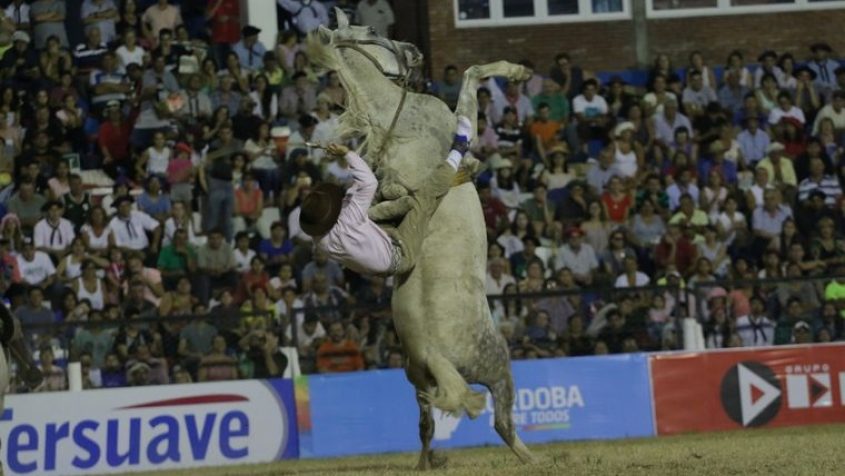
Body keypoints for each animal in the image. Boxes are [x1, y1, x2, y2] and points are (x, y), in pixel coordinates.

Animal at [308, 11, 536, 468]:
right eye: (371, 31)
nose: (414, 51)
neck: (389, 116)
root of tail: (435, 352)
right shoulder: (457, 122)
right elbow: (471, 74)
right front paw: (516, 71)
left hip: (419, 380)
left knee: (427, 425)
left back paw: (428, 462)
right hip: (497, 366)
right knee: (503, 423)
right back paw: (534, 459)